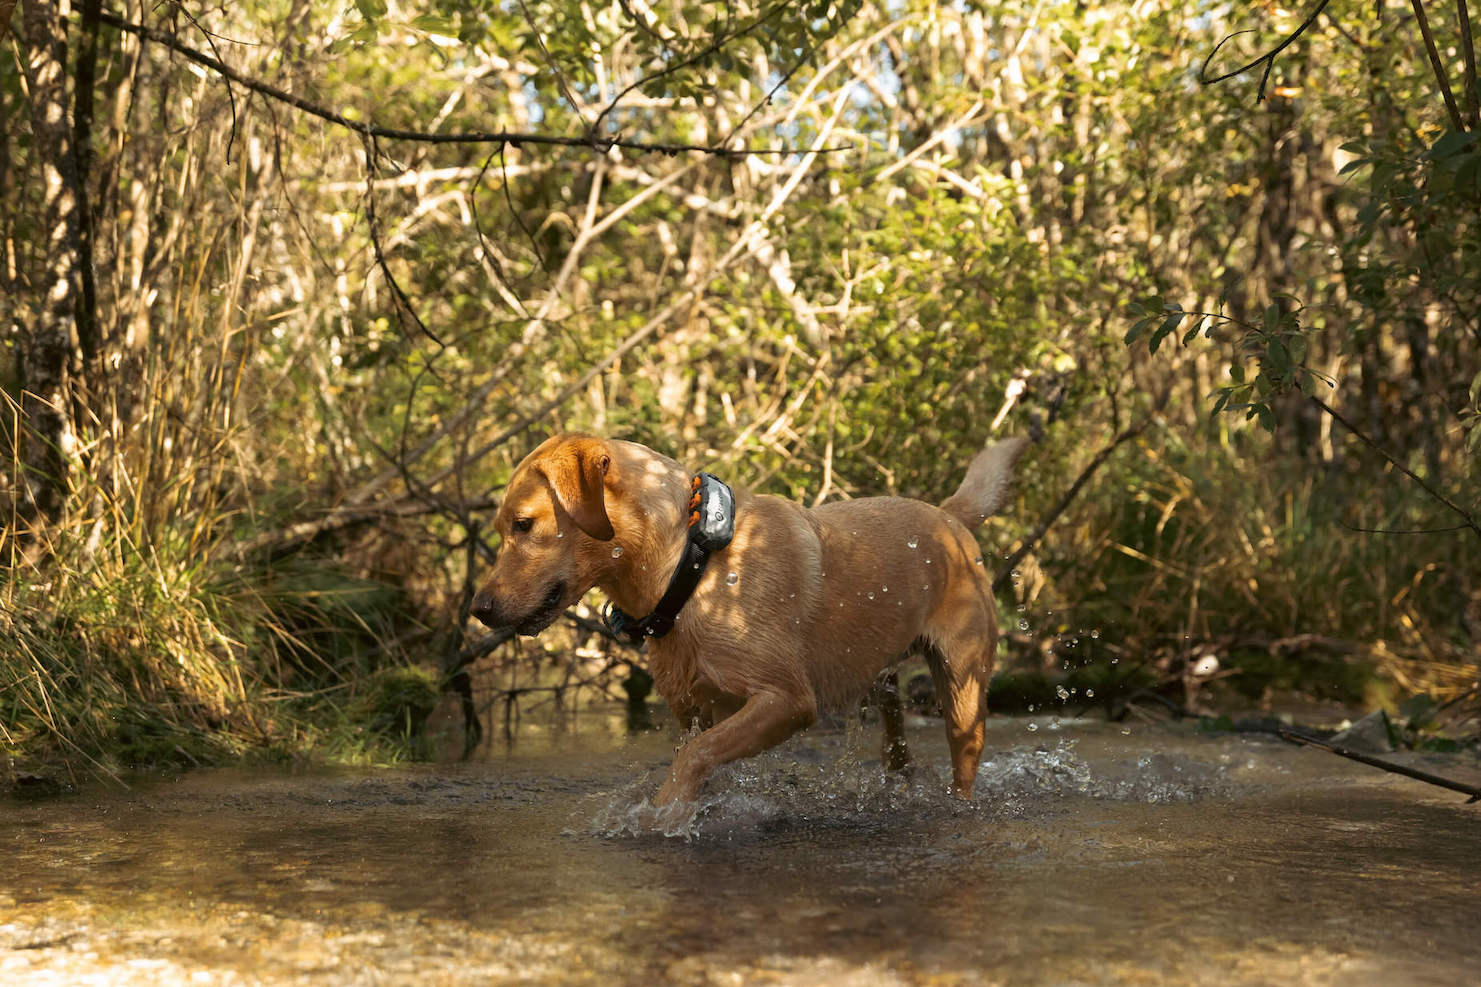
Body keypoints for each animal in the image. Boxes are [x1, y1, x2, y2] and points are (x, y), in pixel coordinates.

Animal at [467, 435, 1024, 806]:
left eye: (524, 525)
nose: (479, 609)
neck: (691, 564)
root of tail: (949, 516)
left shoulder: (787, 701)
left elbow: (693, 758)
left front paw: (662, 815)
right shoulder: (694, 711)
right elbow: (703, 754)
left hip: (962, 691)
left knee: (963, 757)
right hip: (885, 688)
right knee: (896, 748)